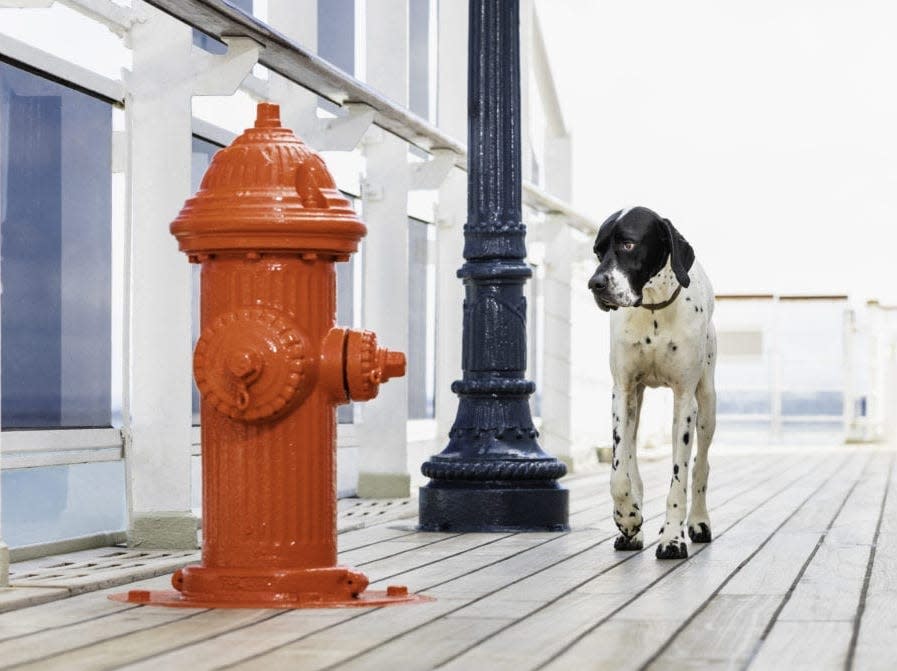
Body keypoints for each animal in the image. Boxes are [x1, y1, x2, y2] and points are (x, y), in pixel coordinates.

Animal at [584, 206, 716, 560]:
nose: (595, 284)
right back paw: (633, 528)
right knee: (631, 460)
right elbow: (619, 471)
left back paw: (698, 522)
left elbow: (679, 480)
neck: (654, 306)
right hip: (636, 402)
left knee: (700, 467)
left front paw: (672, 539)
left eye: (628, 244)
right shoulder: (623, 392)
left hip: (707, 403)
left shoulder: (685, 401)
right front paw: (628, 518)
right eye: (598, 251)